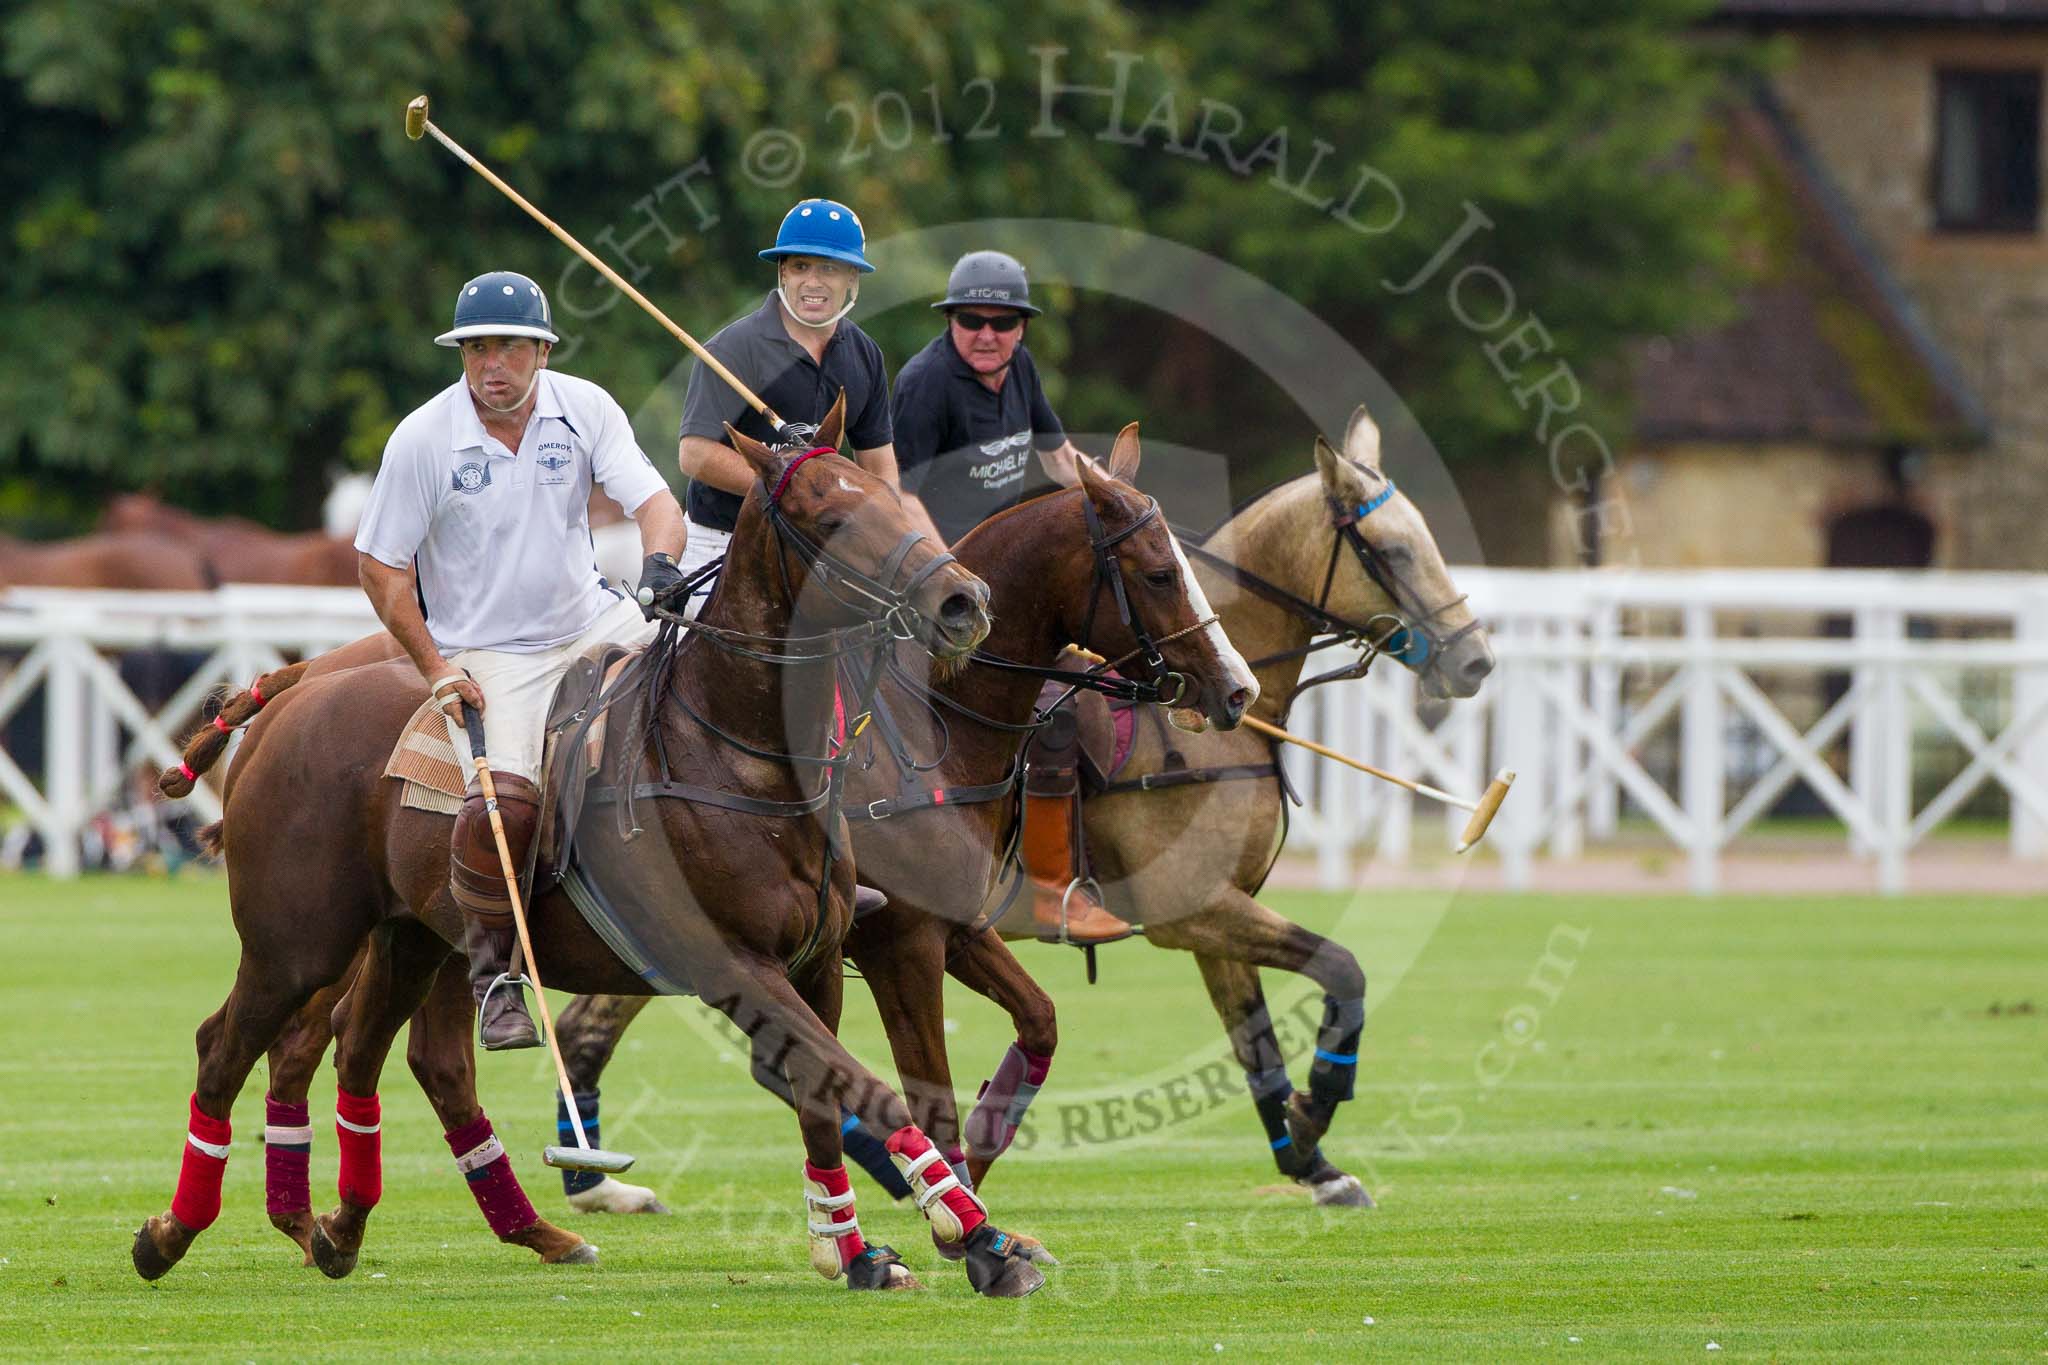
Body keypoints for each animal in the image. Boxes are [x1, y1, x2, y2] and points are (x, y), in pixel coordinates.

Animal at [123, 405, 1073, 1293]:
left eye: (887, 494)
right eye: (829, 514)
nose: (964, 602)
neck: (739, 750)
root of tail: (292, 693)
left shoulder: (816, 960)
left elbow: (823, 1091)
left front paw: (856, 1248)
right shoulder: (742, 966)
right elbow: (868, 1085)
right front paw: (978, 1237)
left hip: (410, 936)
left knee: (377, 1054)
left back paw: (358, 1229)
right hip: (298, 941)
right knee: (227, 1046)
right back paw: (172, 1231)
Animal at [552, 401, 1499, 1211]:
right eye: (1391, 551)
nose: (1475, 659)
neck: (943, 718)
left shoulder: (1175, 912)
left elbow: (1247, 1036)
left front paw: (1310, 1155)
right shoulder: (1183, 907)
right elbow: (1342, 967)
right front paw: (1321, 1109)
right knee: (602, 1031)